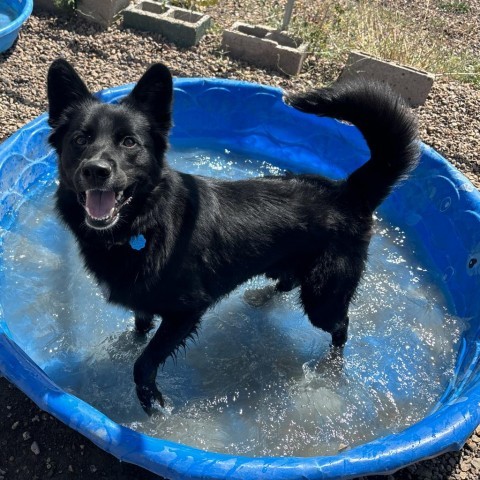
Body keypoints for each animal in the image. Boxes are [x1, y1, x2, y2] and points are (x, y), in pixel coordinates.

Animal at [47, 59, 418, 412]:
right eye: (80, 139)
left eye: (129, 142)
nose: (95, 170)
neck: (144, 222)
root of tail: (349, 190)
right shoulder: (144, 301)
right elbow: (139, 328)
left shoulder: (186, 312)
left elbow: (144, 363)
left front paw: (154, 404)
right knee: (287, 282)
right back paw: (263, 297)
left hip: (323, 297)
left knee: (341, 326)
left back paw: (333, 366)